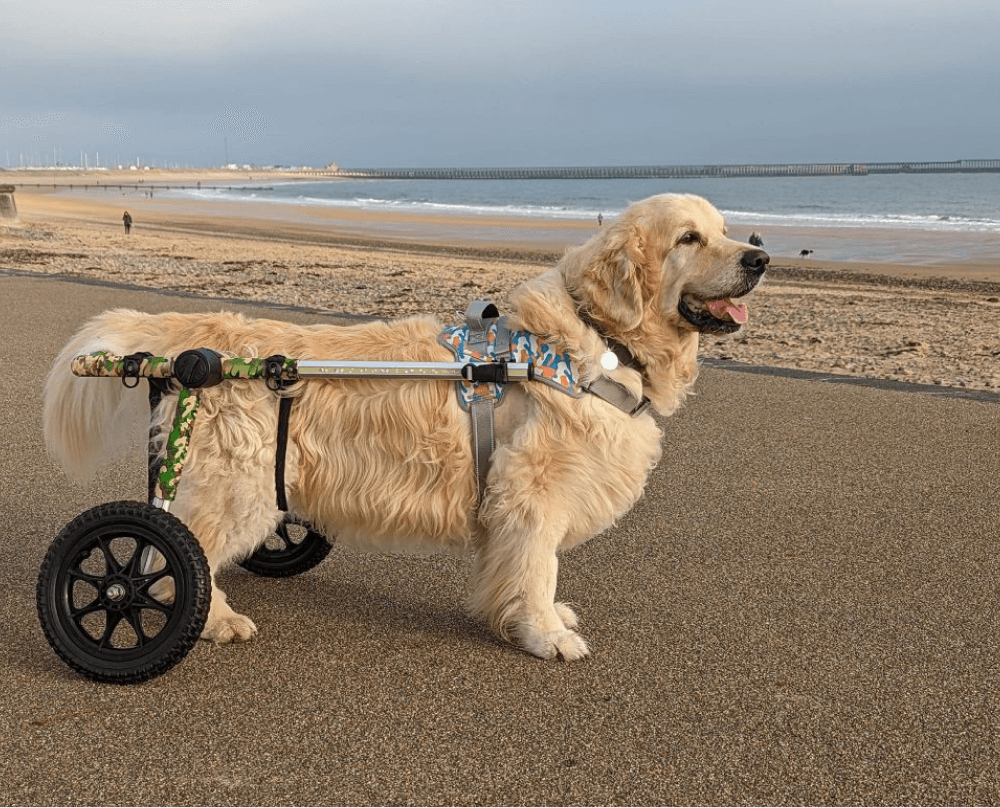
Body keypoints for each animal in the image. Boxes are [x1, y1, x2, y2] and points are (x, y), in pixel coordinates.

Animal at [43, 193, 768, 660]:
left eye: (727, 229)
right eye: (688, 239)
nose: (760, 257)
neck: (600, 338)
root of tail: (200, 343)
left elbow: (523, 570)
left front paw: (527, 617)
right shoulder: (532, 492)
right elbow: (539, 567)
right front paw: (545, 633)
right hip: (238, 489)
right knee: (169, 556)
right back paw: (207, 618)